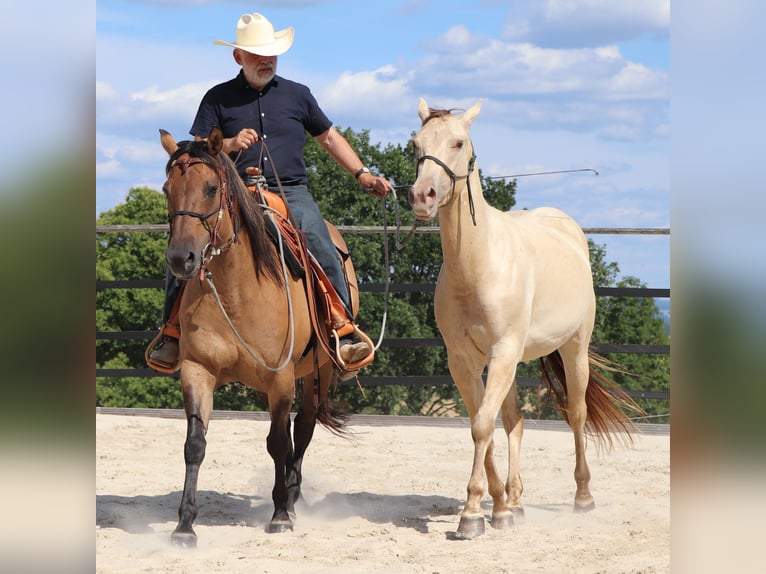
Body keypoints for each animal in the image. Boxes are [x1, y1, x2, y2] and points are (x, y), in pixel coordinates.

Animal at [158, 126, 355, 547]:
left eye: (212, 187)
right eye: (168, 188)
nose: (181, 259)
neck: (237, 291)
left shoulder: (280, 378)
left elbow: (278, 442)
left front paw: (280, 514)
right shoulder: (196, 371)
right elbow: (195, 444)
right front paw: (184, 525)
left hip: (318, 373)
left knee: (304, 428)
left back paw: (292, 498)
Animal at [407, 98, 641, 540]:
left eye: (458, 142)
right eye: (416, 144)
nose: (422, 196)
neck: (478, 265)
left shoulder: (502, 353)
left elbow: (483, 426)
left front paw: (471, 514)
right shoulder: (464, 361)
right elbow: (485, 426)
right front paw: (496, 507)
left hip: (573, 350)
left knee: (577, 415)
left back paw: (583, 497)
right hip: (515, 363)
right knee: (514, 421)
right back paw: (513, 503)